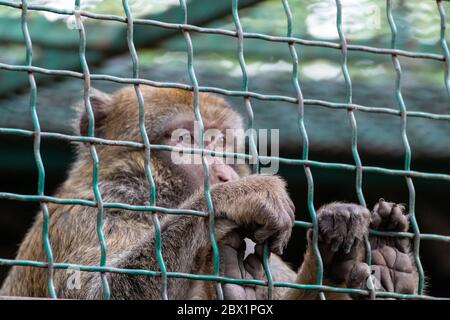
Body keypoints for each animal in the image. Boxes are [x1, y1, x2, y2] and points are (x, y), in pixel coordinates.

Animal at [0, 86, 418, 298]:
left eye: (222, 142)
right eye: (185, 140)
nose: (223, 171)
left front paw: (332, 264)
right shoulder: (93, 210)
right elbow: (95, 290)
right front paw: (239, 194)